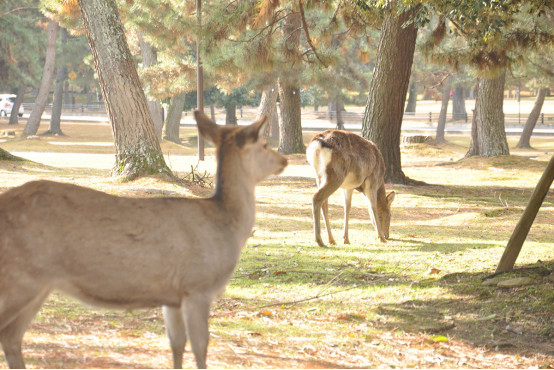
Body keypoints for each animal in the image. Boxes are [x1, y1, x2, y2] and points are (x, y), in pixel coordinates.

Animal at [0, 111, 286, 368]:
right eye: (264, 144)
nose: (283, 160)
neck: (226, 223)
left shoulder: (173, 296)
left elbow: (177, 345)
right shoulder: (198, 286)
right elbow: (201, 347)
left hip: (38, 284)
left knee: (11, 336)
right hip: (21, 276)